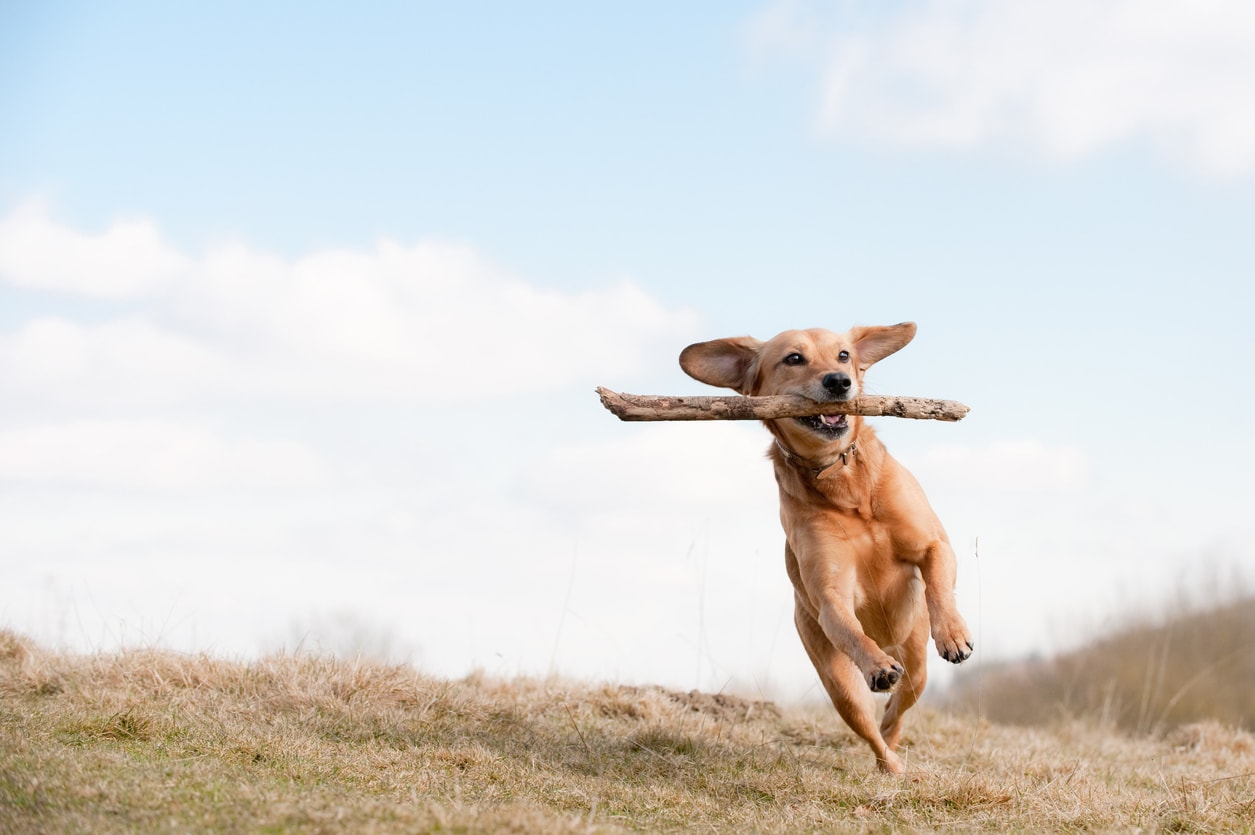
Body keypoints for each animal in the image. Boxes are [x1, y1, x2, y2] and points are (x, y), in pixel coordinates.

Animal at [682, 321, 973, 773]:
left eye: (843, 355)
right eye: (794, 358)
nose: (839, 382)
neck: (842, 481)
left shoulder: (933, 545)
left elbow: (940, 585)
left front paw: (954, 634)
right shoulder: (830, 594)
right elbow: (851, 629)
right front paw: (876, 664)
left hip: (916, 656)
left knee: (903, 702)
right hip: (837, 680)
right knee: (871, 728)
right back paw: (891, 763)